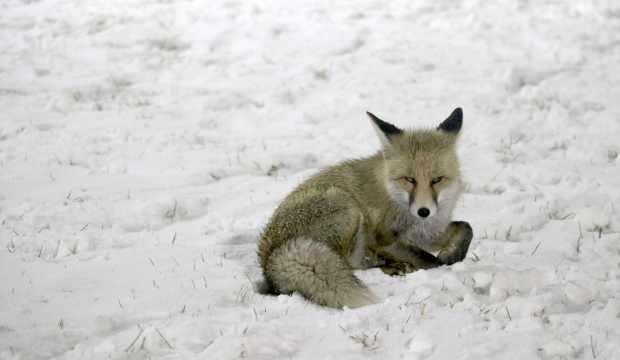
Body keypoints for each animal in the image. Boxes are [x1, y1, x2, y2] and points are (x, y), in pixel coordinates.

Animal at [260, 108, 472, 308]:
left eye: (437, 180)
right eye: (409, 179)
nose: (423, 211)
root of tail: (269, 260)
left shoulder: (428, 232)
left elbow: (465, 227)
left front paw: (453, 253)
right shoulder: (384, 240)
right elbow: (430, 260)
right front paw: (441, 263)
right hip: (348, 207)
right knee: (350, 263)